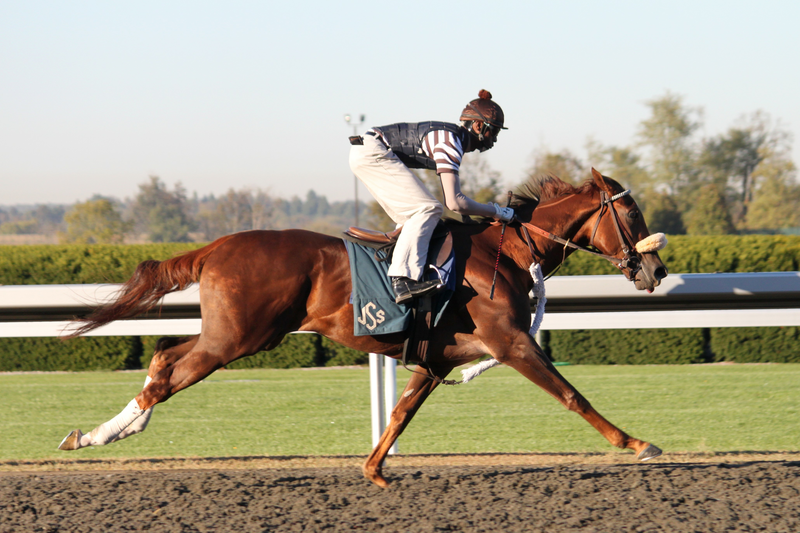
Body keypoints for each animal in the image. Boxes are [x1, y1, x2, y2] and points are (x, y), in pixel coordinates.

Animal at [59, 169, 664, 486]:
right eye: (631, 214)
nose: (656, 270)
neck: (508, 253)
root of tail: (217, 246)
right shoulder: (511, 342)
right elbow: (572, 395)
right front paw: (636, 442)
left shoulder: (435, 359)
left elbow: (399, 415)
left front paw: (374, 469)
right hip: (237, 337)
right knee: (167, 375)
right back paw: (95, 435)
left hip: (234, 334)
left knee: (163, 358)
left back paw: (104, 431)